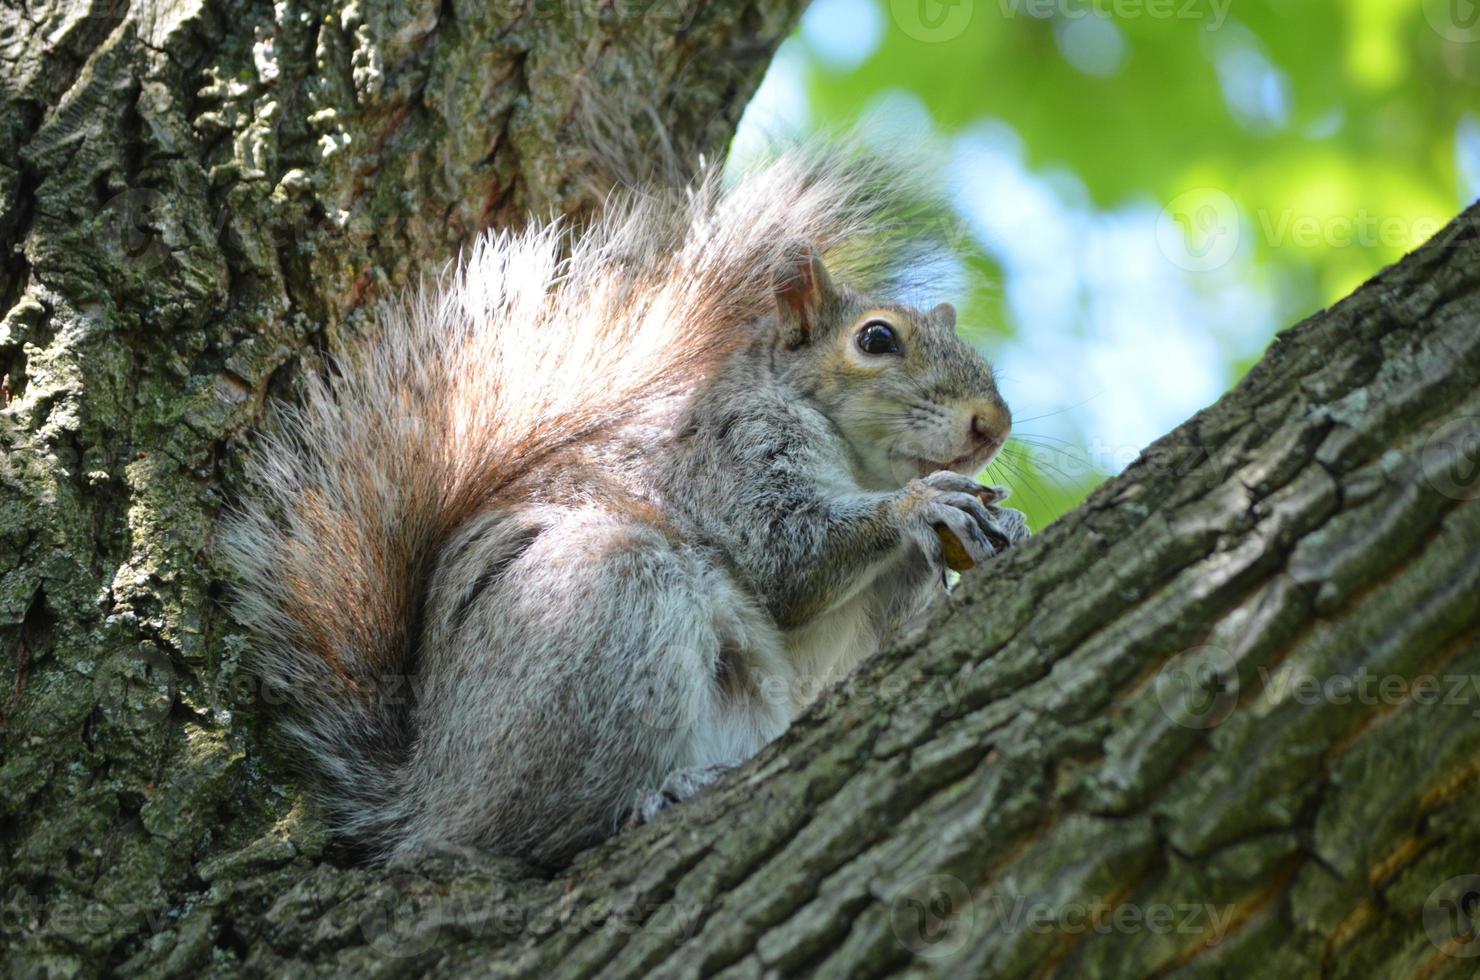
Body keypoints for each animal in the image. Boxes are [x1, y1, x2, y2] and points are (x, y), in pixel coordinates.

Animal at [224, 148, 1030, 870]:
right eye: (876, 339)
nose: (993, 424)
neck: (859, 464)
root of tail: (425, 793)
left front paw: (997, 527)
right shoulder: (733, 455)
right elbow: (787, 561)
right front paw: (920, 505)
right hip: (607, 613)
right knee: (528, 835)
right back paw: (655, 796)